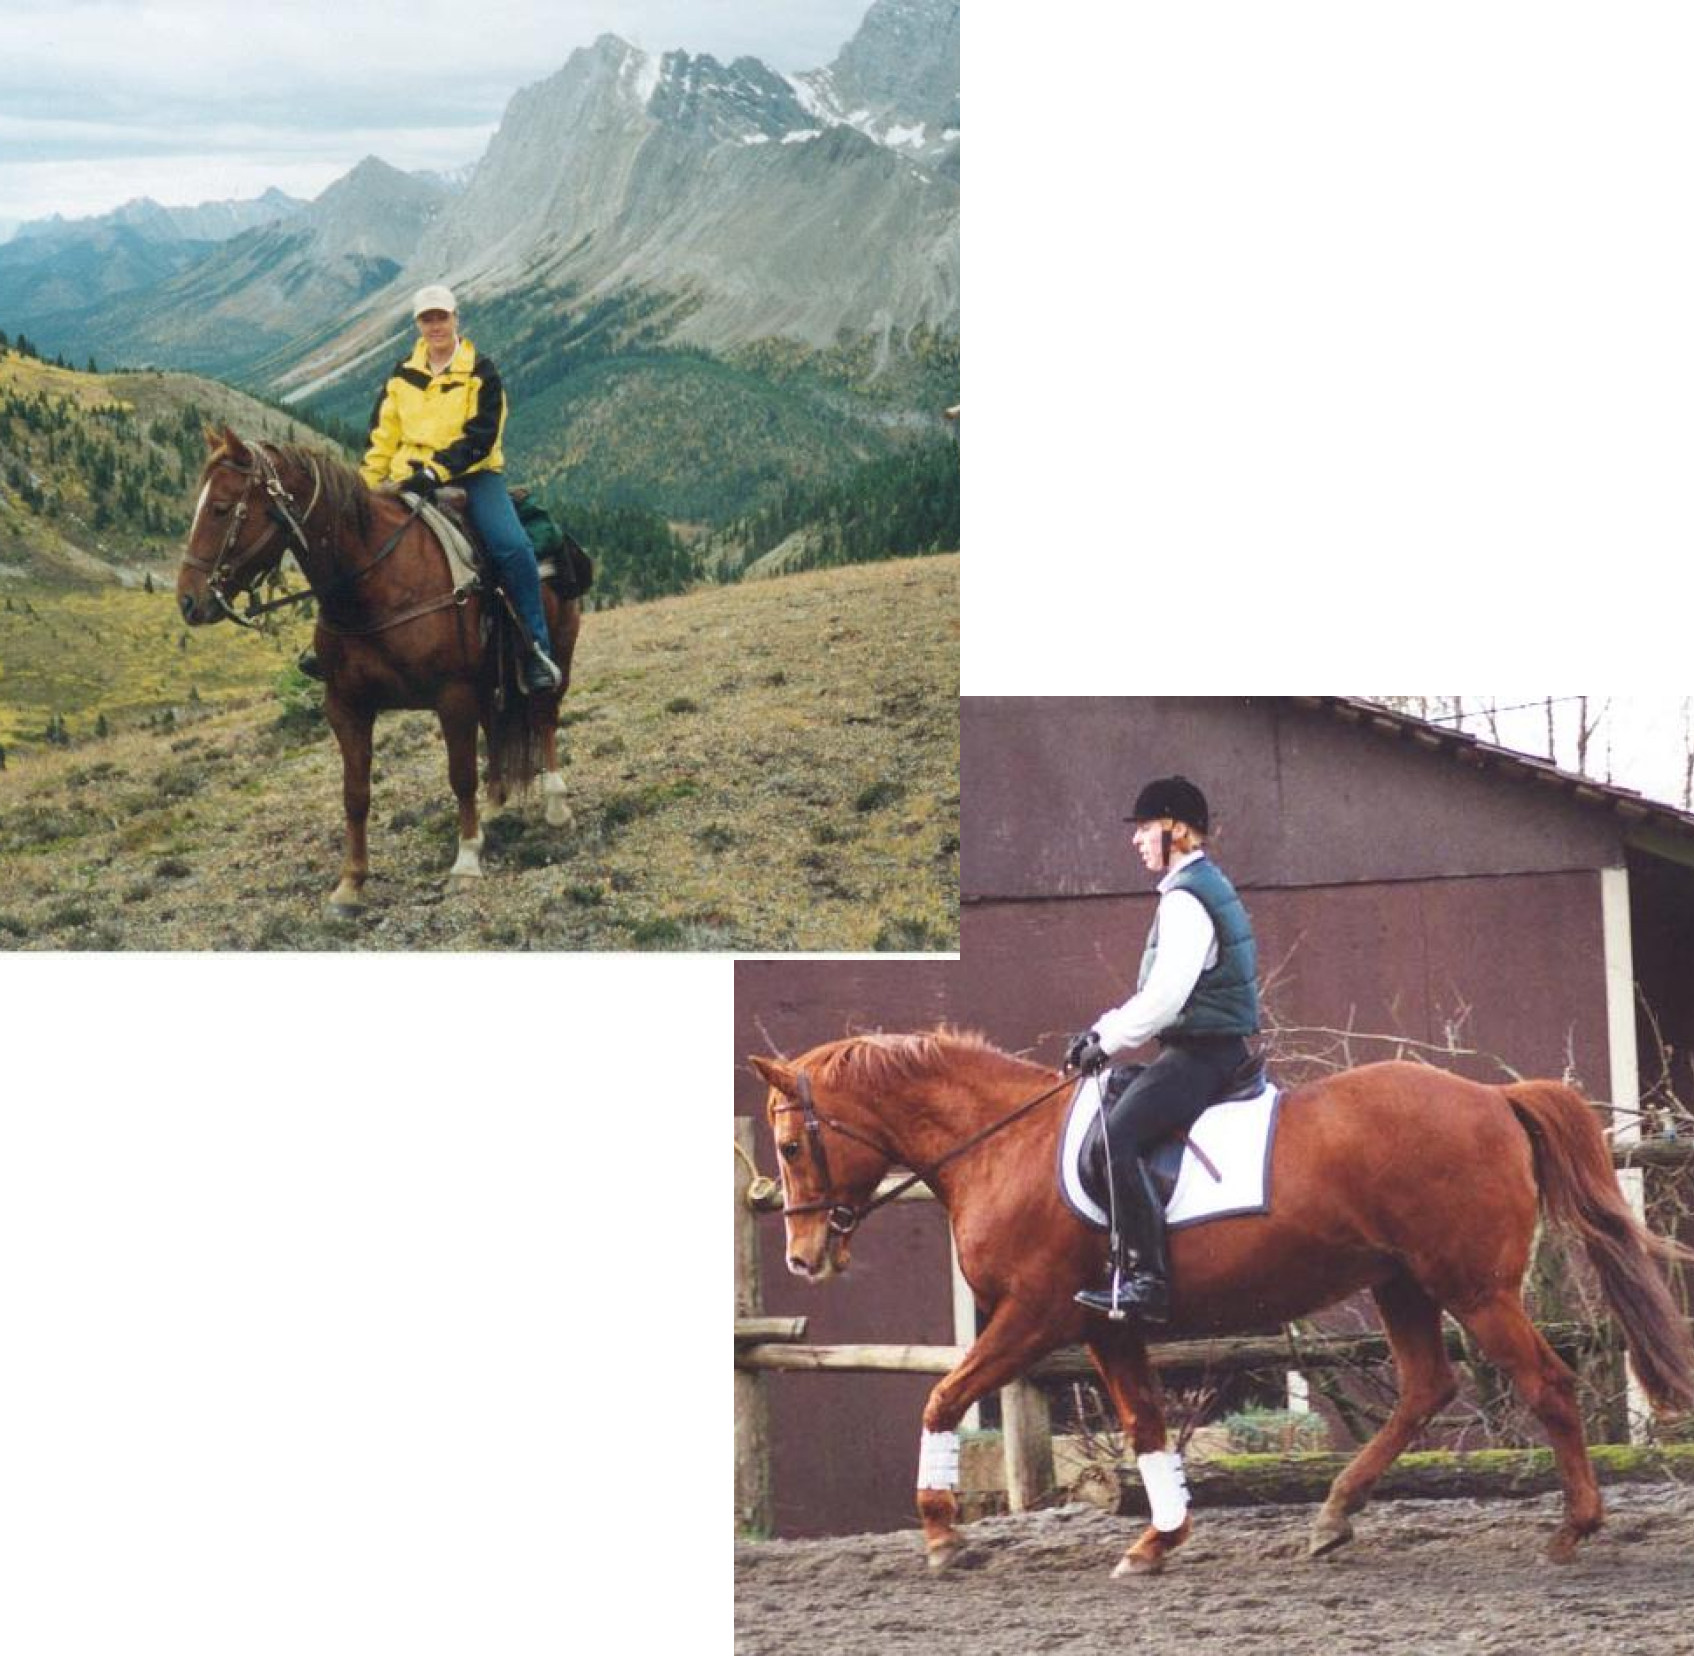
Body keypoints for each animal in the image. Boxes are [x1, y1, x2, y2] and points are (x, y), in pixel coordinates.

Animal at [177, 428, 582, 912]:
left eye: (221, 508)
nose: (187, 601)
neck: (375, 585)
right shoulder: (346, 705)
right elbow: (355, 794)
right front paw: (351, 882)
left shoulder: (452, 696)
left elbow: (460, 775)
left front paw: (466, 860)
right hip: (488, 680)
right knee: (497, 728)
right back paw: (495, 806)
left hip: (554, 656)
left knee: (544, 719)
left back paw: (557, 805)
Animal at [749, 1030, 1694, 1576]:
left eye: (792, 1145)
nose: (803, 1256)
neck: (1003, 1145)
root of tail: (1493, 1096)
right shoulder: (1105, 1326)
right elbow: (1145, 1427)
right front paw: (1158, 1540)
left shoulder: (1036, 1316)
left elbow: (942, 1397)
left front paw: (945, 1535)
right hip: (1400, 1283)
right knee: (1428, 1387)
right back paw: (1333, 1517)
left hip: (1474, 1288)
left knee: (1547, 1386)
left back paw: (1573, 1530)